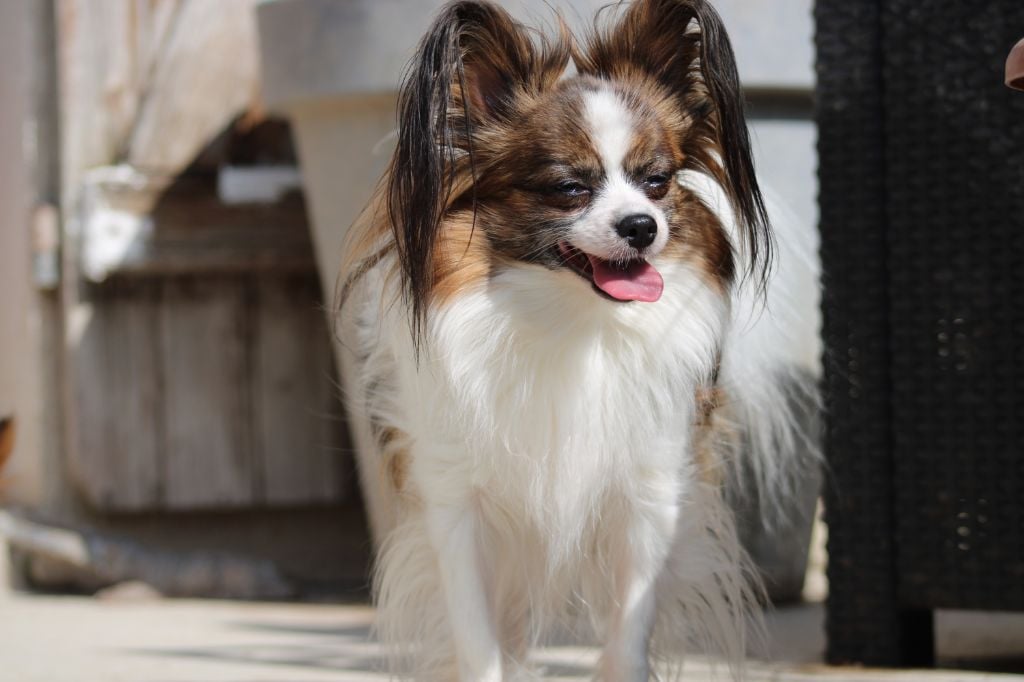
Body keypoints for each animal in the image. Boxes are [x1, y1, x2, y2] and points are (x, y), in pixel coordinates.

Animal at [337, 1, 820, 679]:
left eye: (656, 182)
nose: (642, 226)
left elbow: (628, 633)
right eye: (569, 189)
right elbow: (478, 638)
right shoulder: (458, 507)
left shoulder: (647, 501)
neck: (570, 322)